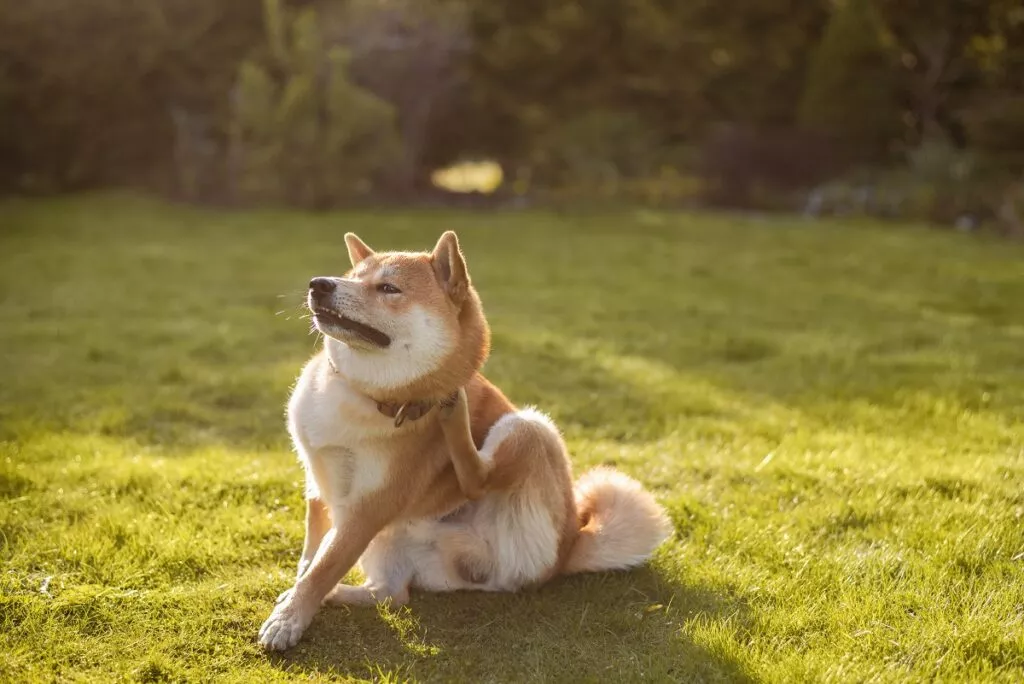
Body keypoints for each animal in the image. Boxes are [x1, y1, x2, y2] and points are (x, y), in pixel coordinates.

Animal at [256, 231, 671, 651]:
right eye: (352, 277)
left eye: (388, 288)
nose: (319, 284)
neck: (361, 394)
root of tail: (568, 548)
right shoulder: (319, 486)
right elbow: (311, 557)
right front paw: (295, 596)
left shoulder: (368, 508)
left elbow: (323, 567)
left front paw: (290, 619)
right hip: (394, 541)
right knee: (391, 594)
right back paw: (341, 594)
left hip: (531, 428)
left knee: (477, 479)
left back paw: (455, 414)